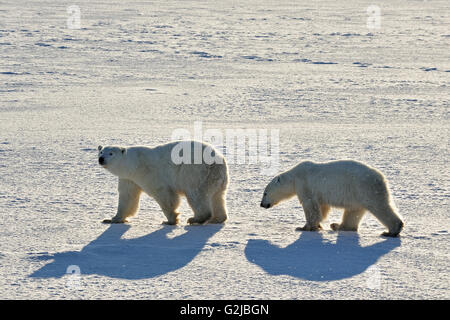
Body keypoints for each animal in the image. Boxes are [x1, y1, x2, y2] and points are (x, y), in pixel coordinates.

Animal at [96, 140, 227, 225]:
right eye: (101, 152)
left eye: (111, 153)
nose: (101, 159)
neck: (134, 164)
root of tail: (218, 161)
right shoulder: (129, 179)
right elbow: (127, 197)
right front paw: (112, 219)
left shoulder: (148, 173)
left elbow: (164, 195)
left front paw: (170, 220)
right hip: (215, 179)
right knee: (217, 197)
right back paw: (218, 218)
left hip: (195, 173)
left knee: (196, 195)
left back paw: (196, 219)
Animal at [260, 159, 404, 236]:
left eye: (265, 193)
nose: (262, 204)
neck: (294, 177)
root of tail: (381, 178)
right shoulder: (318, 193)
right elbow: (322, 208)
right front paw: (318, 225)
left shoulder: (305, 185)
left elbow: (310, 207)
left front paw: (304, 227)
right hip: (357, 195)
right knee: (353, 212)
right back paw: (337, 226)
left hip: (365, 189)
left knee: (379, 207)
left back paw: (392, 231)